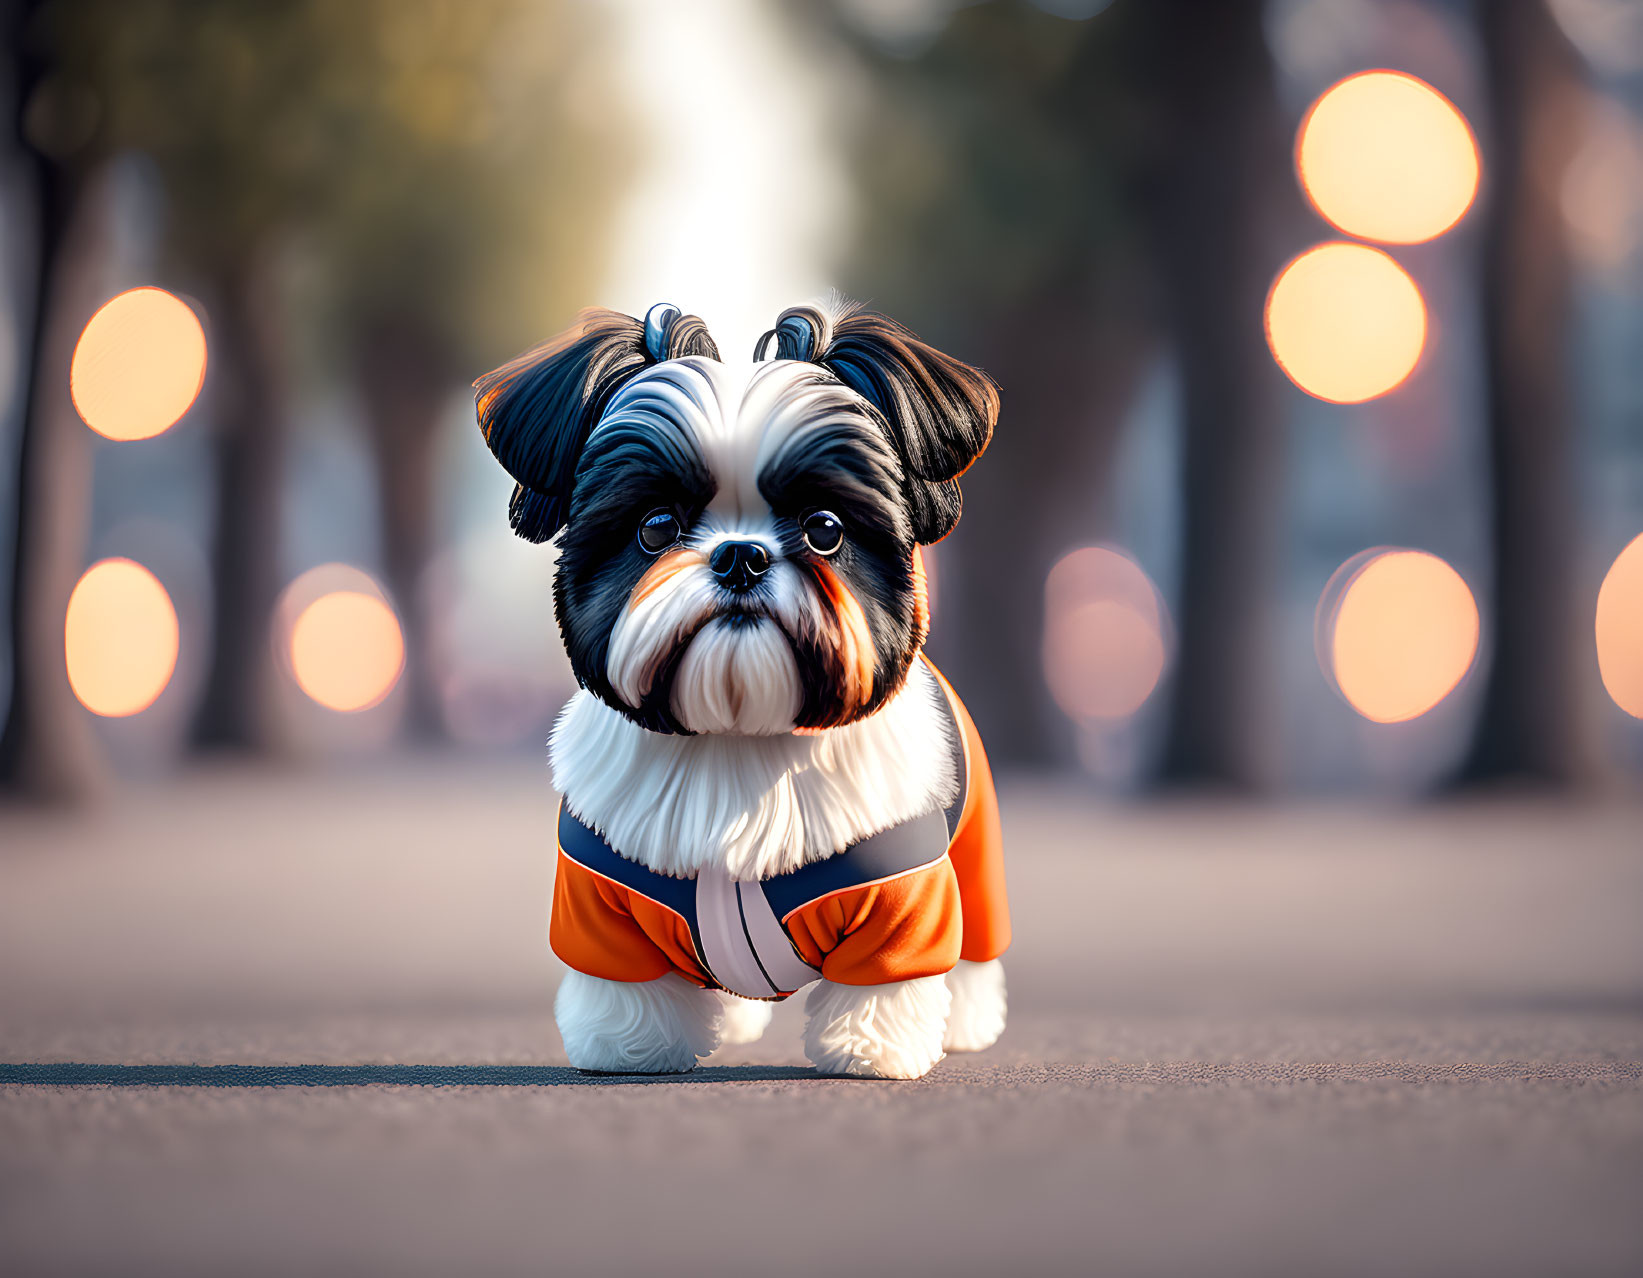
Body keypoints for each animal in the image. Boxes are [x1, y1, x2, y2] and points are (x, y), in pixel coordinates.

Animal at [476, 295, 1005, 1077]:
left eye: (824, 529)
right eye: (656, 527)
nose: (741, 555)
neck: (737, 737)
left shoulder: (900, 891)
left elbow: (890, 976)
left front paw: (870, 1050)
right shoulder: (600, 898)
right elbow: (626, 987)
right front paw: (631, 1049)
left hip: (976, 850)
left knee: (976, 943)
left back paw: (965, 1024)